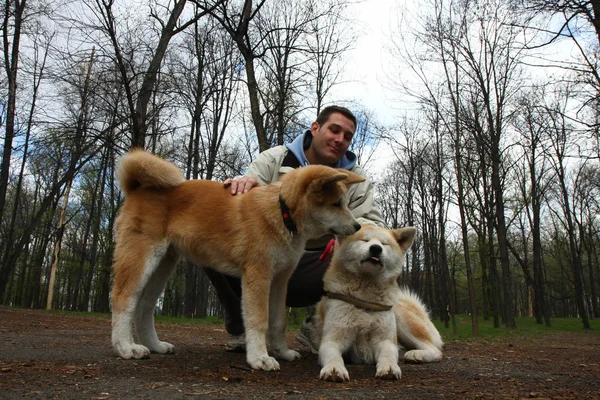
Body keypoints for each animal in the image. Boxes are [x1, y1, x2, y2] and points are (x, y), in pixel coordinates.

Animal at [112, 150, 366, 372]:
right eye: (335, 204)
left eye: (345, 203)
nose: (357, 227)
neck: (282, 212)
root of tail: (137, 188)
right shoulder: (258, 275)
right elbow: (259, 319)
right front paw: (260, 357)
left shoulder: (279, 280)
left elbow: (278, 321)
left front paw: (282, 352)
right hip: (142, 258)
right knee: (123, 300)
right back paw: (126, 347)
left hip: (164, 263)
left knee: (145, 306)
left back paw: (155, 345)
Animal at [316, 225, 442, 382]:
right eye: (365, 240)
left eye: (384, 243)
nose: (376, 248)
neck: (365, 299)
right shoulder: (332, 340)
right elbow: (334, 356)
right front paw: (334, 368)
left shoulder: (385, 341)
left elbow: (387, 355)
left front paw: (389, 367)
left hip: (401, 320)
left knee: (435, 350)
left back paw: (417, 354)